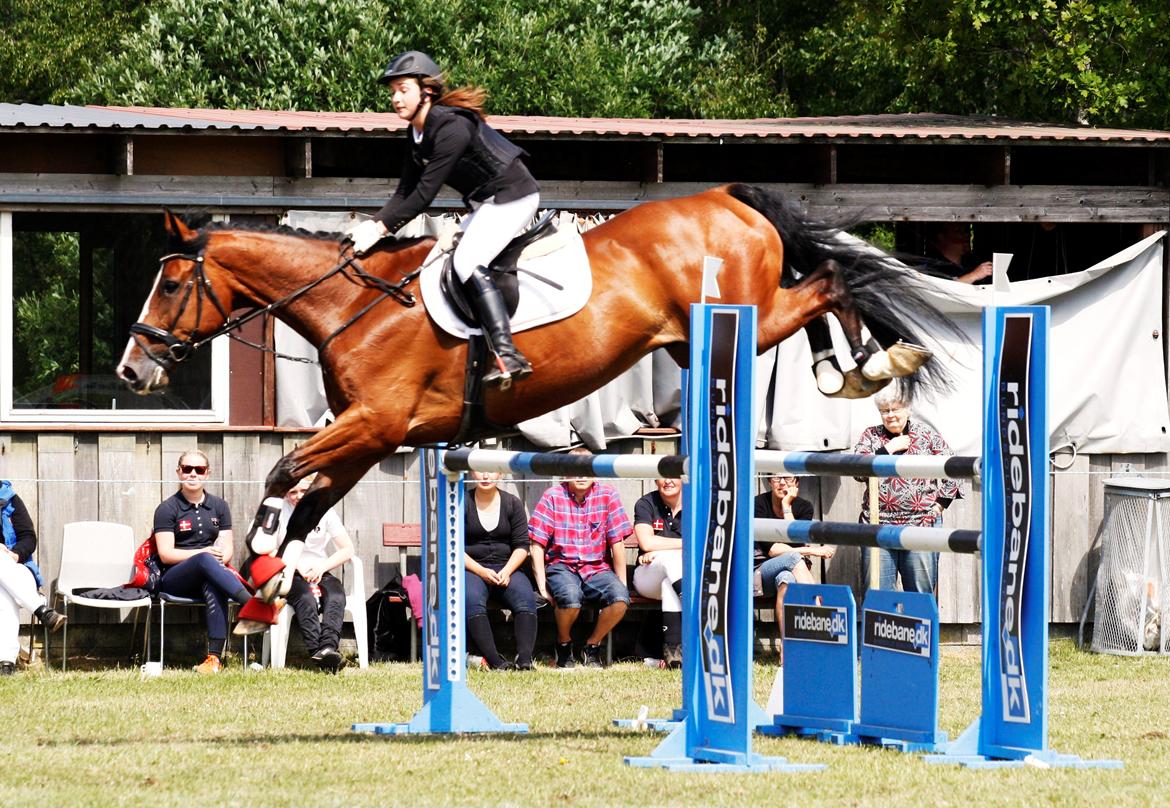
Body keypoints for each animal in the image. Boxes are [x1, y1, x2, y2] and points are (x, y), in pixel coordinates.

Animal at [114, 184, 954, 631]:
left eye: (171, 283)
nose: (132, 367)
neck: (353, 306)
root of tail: (724, 197)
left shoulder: (374, 424)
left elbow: (285, 471)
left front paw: (259, 548)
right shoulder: (371, 437)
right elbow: (312, 500)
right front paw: (268, 581)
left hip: (739, 313)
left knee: (833, 281)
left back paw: (875, 363)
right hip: (703, 337)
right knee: (821, 288)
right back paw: (850, 368)